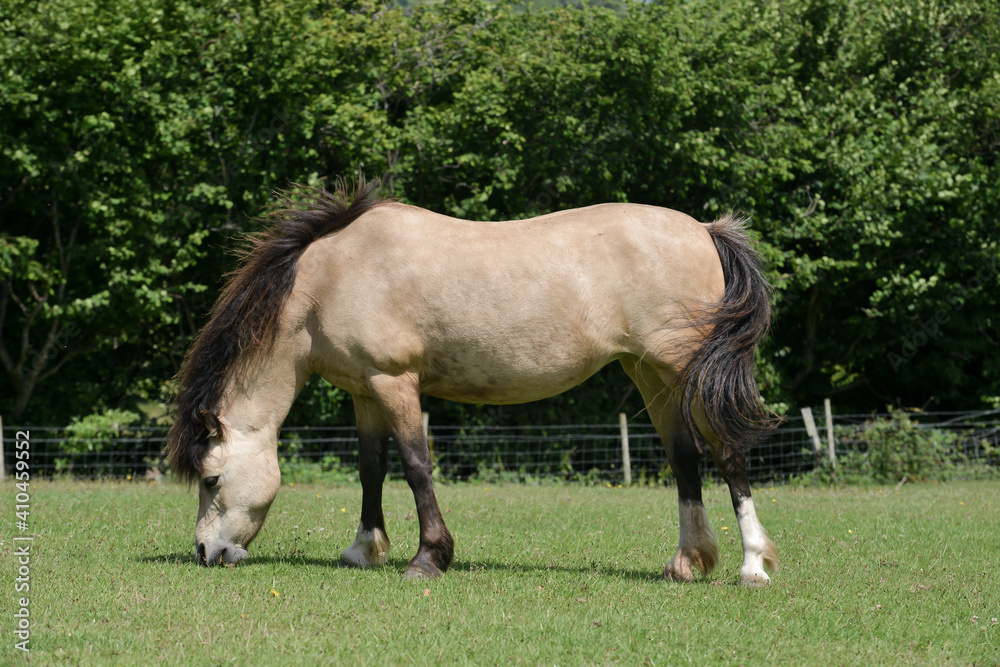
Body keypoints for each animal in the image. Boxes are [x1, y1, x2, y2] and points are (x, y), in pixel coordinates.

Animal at [166, 177, 778, 585]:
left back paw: (753, 565)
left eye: (211, 479)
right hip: (651, 374)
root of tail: (704, 229)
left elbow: (415, 466)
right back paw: (688, 562)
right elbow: (370, 468)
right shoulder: (364, 391)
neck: (329, 279)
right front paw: (364, 550)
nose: (204, 552)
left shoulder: (394, 381)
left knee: (727, 453)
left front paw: (428, 559)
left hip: (685, 370)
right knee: (685, 459)